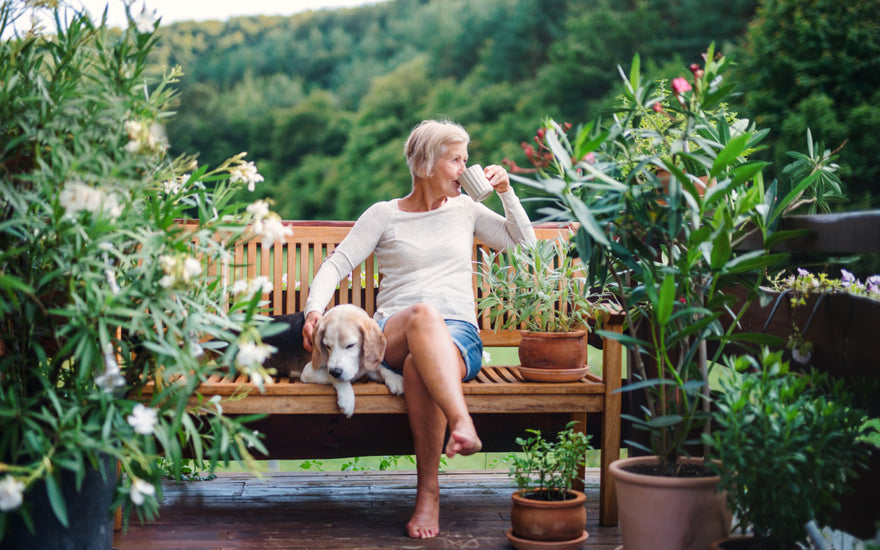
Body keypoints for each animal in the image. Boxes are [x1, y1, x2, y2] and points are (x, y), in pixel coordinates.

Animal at [262, 306, 404, 418]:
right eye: (327, 346)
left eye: (351, 345)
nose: (336, 371)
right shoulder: (308, 371)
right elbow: (333, 376)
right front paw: (347, 398)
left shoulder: (364, 367)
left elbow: (380, 368)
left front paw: (395, 379)